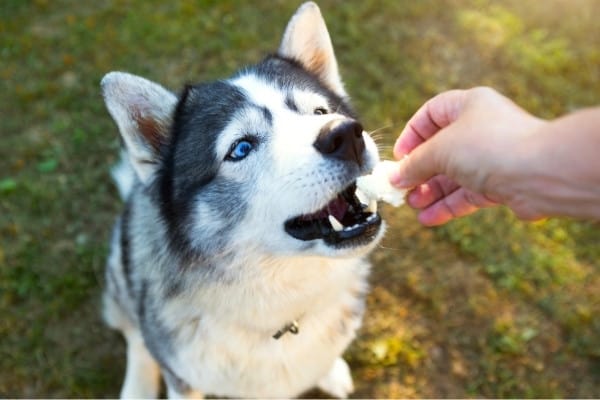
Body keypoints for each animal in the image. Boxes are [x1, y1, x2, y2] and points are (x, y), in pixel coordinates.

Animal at [102, 1, 384, 398]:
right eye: (241, 148)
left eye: (320, 112)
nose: (345, 135)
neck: (281, 310)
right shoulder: (183, 376)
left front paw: (327, 370)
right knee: (134, 333)